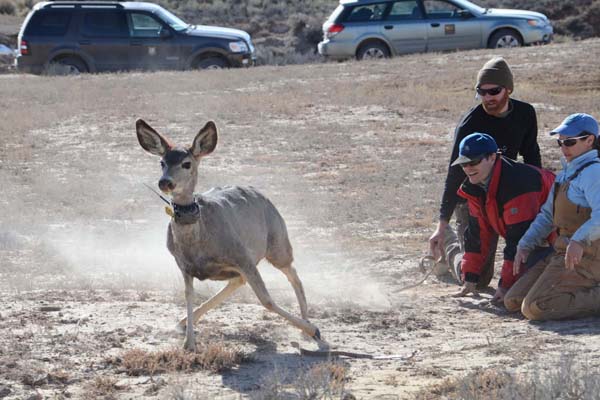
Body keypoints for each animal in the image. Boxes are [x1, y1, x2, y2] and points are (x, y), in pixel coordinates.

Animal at [136, 119, 324, 350]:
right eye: (162, 162)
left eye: (186, 164)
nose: (165, 182)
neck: (198, 242)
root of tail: (260, 193)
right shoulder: (184, 265)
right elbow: (189, 295)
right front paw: (189, 343)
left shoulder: (242, 256)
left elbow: (266, 300)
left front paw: (314, 330)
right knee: (237, 282)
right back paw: (180, 323)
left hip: (278, 241)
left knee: (294, 275)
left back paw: (307, 327)